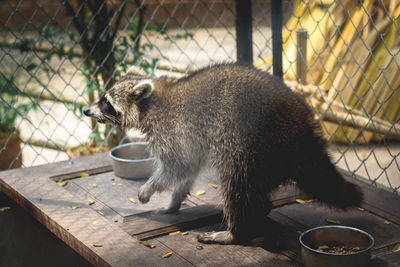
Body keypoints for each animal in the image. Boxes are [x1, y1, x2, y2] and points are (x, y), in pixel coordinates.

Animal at [83, 62, 362, 245]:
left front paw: (150, 187)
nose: (86, 110)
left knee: (237, 182)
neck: (151, 104)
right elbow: (188, 170)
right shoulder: (189, 138)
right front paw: (175, 200)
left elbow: (177, 167)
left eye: (106, 102)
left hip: (253, 143)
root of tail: (301, 126)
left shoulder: (174, 130)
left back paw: (235, 231)